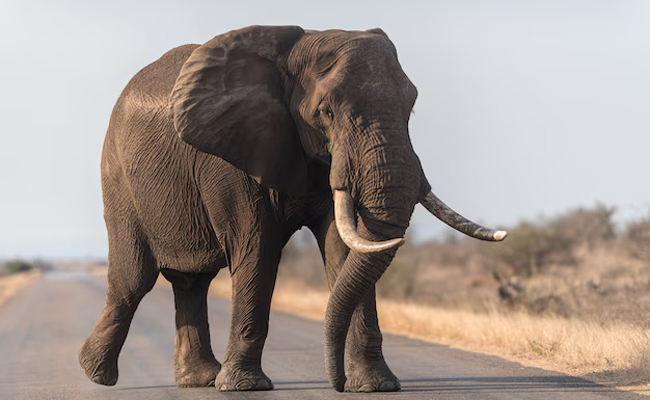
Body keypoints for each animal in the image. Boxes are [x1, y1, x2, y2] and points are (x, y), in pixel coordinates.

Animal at [78, 25, 506, 393]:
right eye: (326, 112)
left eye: (411, 108)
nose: (336, 383)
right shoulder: (230, 156)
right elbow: (258, 250)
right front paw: (245, 387)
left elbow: (345, 248)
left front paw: (376, 386)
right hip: (118, 180)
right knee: (134, 279)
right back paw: (95, 373)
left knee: (191, 282)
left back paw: (198, 380)